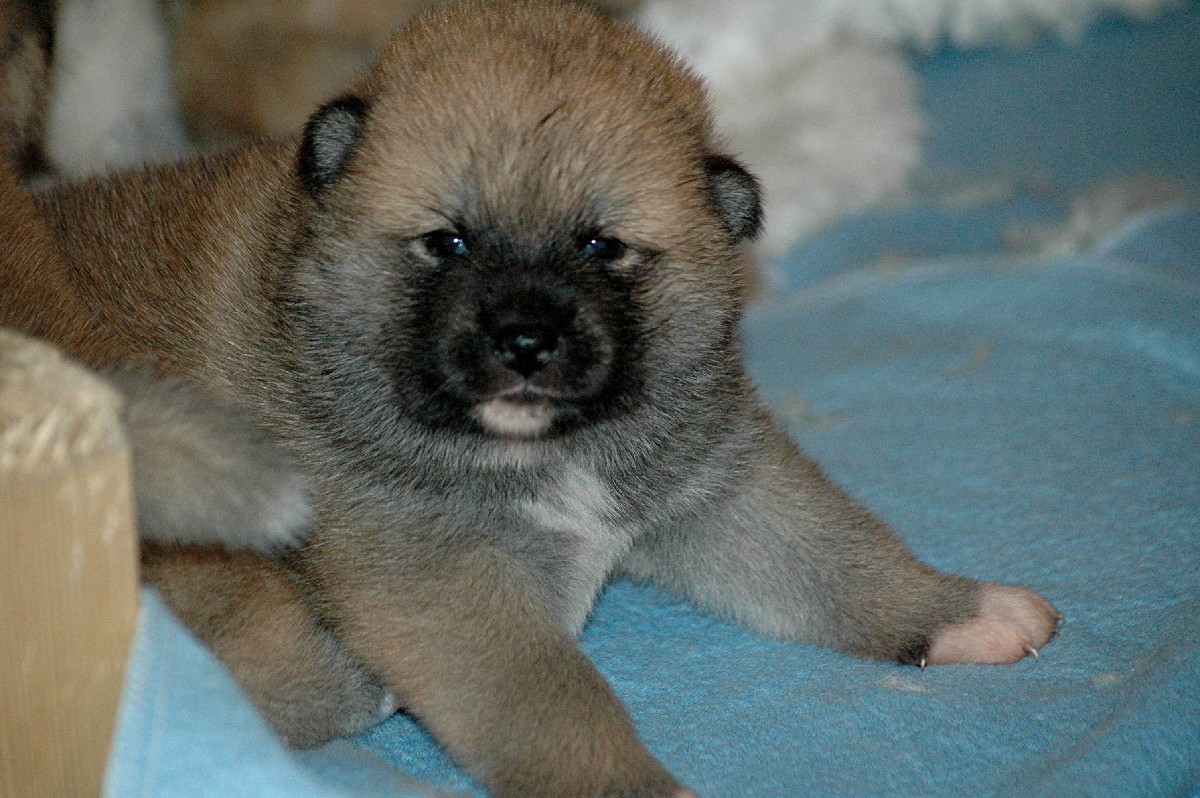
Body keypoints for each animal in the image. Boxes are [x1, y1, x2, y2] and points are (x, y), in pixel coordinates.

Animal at [12, 2, 1057, 795]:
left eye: (602, 246)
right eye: (448, 243)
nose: (524, 340)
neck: (548, 451)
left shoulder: (723, 485)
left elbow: (837, 552)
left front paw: (958, 611)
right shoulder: (450, 584)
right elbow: (562, 704)